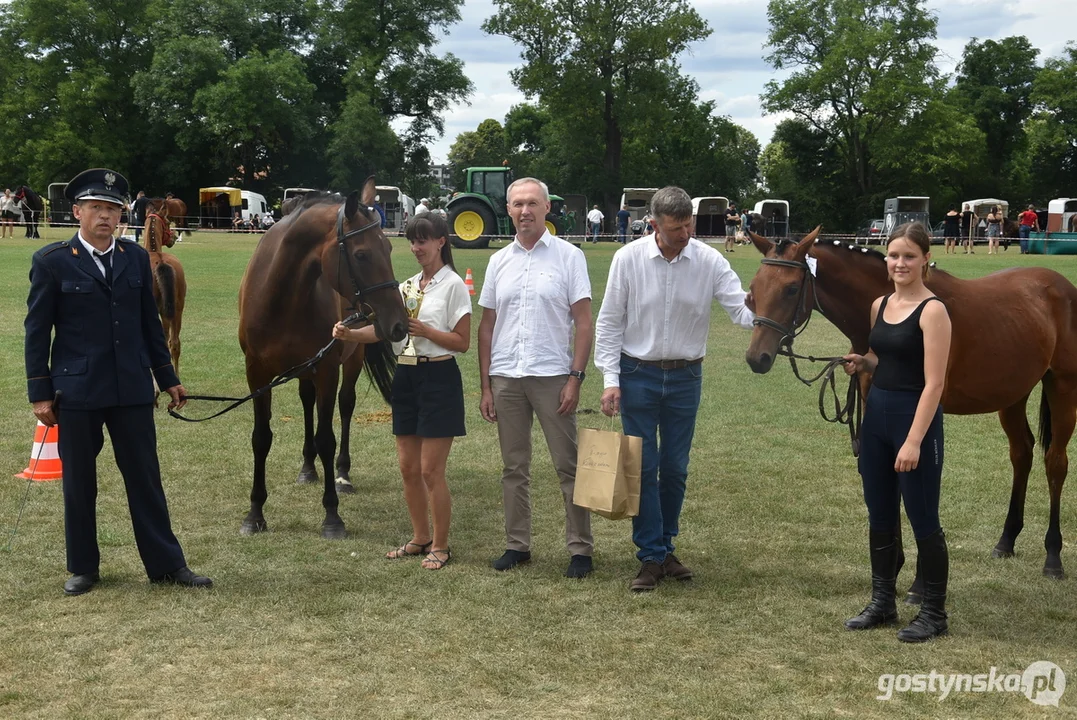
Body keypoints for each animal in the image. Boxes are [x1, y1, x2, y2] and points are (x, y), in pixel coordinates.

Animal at [239, 178, 407, 535]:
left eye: (388, 249)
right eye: (361, 254)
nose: (398, 323)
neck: (280, 296)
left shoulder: (328, 368)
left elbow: (327, 438)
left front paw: (332, 516)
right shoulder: (256, 373)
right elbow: (261, 438)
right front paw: (255, 513)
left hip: (350, 360)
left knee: (345, 406)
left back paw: (342, 474)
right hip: (304, 369)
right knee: (306, 401)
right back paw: (307, 467)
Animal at [745, 227, 1077, 585]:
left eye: (791, 288)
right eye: (753, 290)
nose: (756, 358)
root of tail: (1060, 285)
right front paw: (893, 562)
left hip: (1062, 387)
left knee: (1055, 462)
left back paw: (1053, 556)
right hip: (1012, 395)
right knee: (1022, 454)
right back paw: (1006, 540)